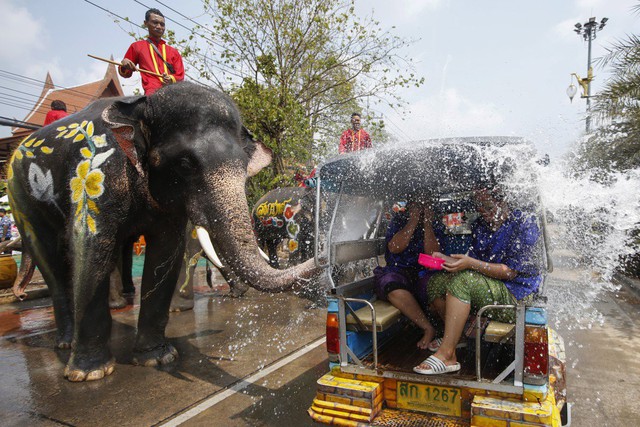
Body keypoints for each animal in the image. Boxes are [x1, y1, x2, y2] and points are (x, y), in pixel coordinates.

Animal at [7, 82, 318, 382]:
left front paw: (157, 359)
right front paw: (90, 373)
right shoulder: (95, 177)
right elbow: (93, 245)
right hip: (19, 196)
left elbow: (166, 253)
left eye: (243, 166)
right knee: (48, 255)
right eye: (185, 164)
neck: (143, 106)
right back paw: (66, 344)